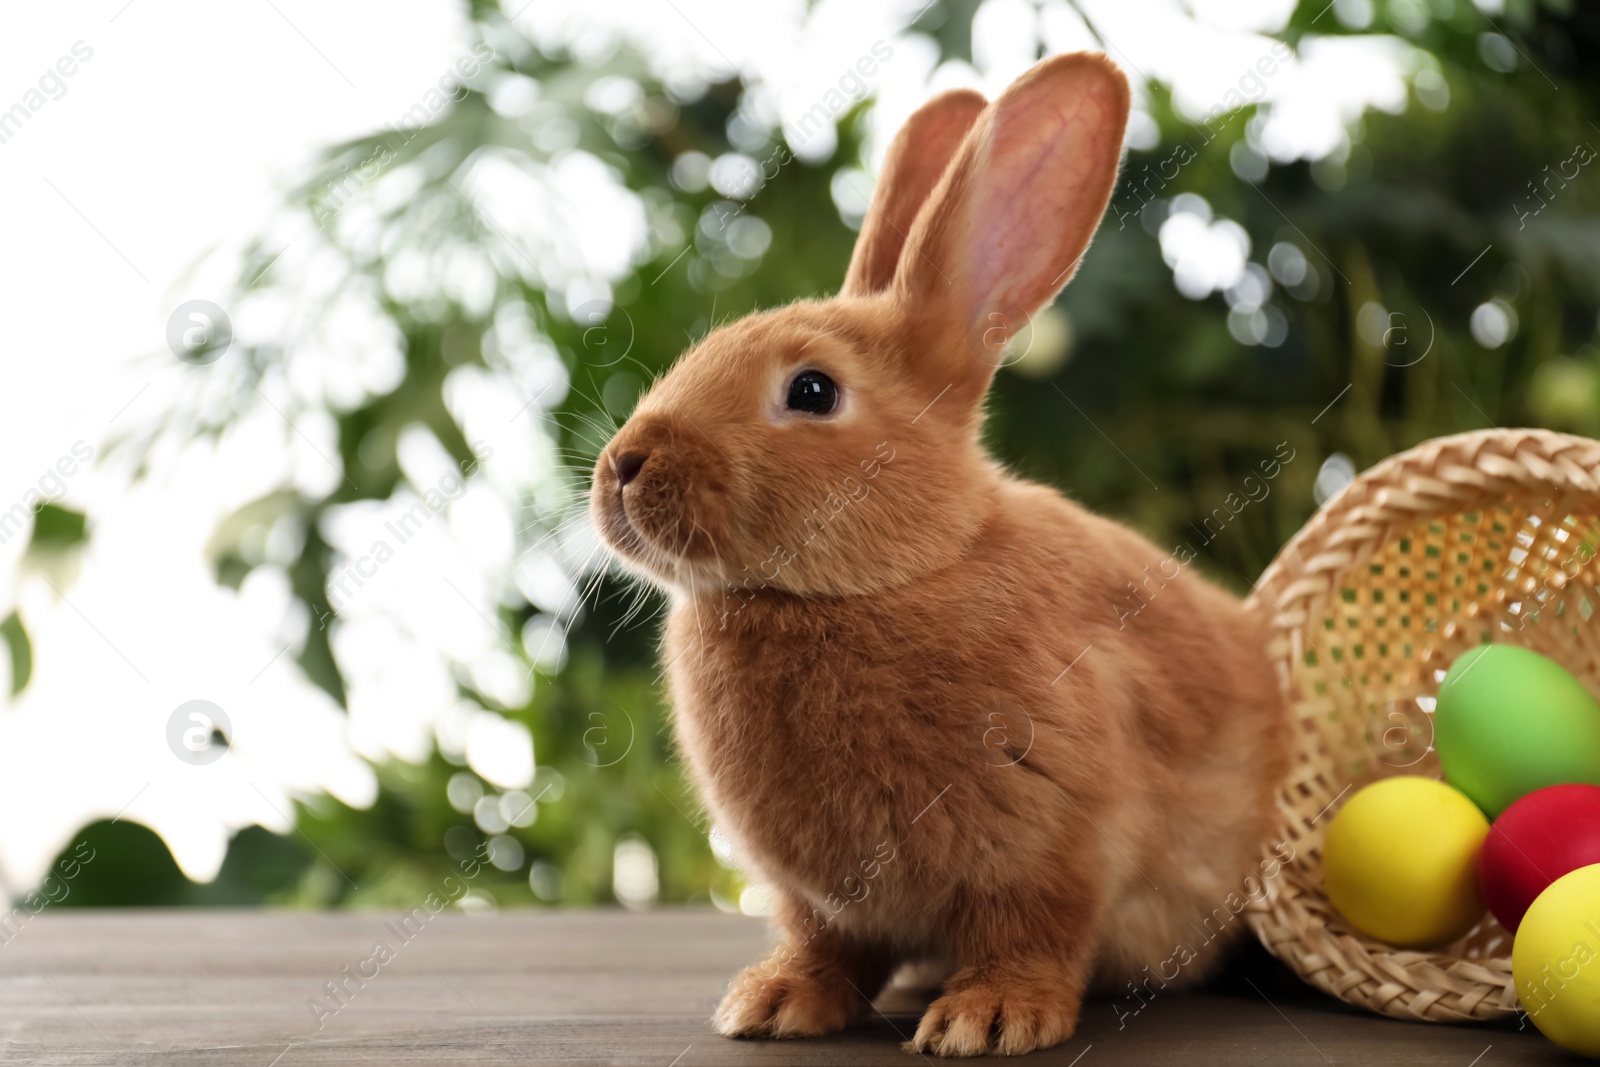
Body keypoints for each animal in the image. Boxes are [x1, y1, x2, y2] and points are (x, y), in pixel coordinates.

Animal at [588, 51, 1286, 1062]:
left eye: (812, 390)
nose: (623, 467)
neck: (894, 575)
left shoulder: (1055, 844)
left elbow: (1032, 931)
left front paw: (987, 1018)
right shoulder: (818, 898)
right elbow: (823, 943)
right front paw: (773, 1002)